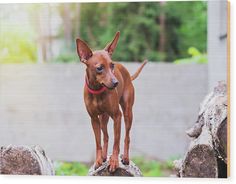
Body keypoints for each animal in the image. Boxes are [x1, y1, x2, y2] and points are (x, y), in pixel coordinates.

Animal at [76, 30, 146, 172]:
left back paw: (125, 158)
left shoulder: (117, 116)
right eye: (99, 68)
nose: (116, 83)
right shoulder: (94, 119)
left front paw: (114, 161)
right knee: (106, 136)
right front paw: (98, 159)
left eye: (112, 65)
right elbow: (98, 141)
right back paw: (103, 156)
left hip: (127, 113)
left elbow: (116, 141)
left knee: (126, 137)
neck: (97, 91)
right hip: (103, 118)